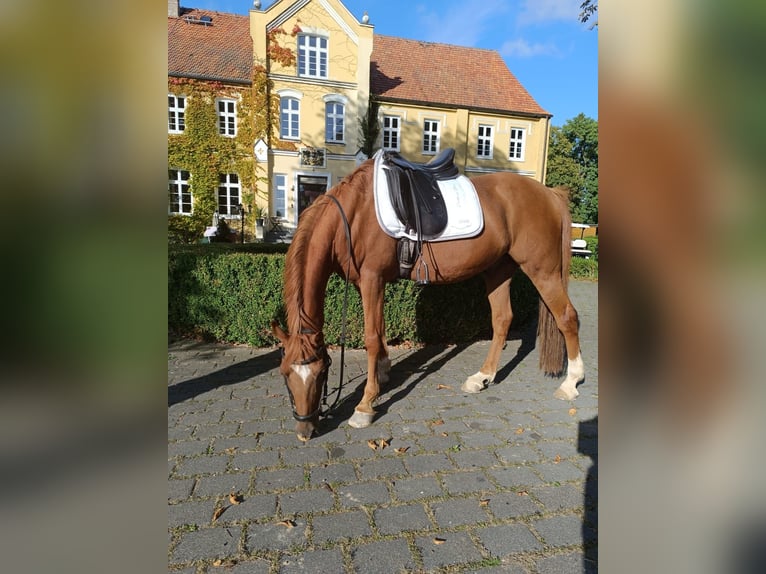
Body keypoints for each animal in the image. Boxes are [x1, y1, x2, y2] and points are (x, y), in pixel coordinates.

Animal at [272, 157, 584, 442]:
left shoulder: (372, 278)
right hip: (499, 270)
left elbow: (371, 338)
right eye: (285, 373)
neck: (353, 214)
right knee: (502, 319)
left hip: (543, 270)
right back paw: (482, 377)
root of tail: (550, 194)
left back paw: (571, 383)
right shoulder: (367, 284)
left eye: (321, 372)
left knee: (567, 317)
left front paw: (365, 405)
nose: (305, 431)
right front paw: (383, 373)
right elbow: (380, 331)